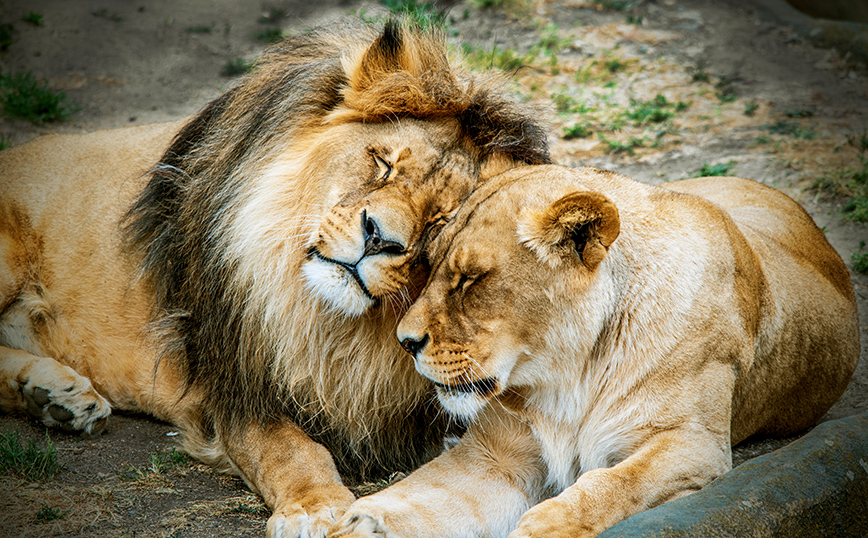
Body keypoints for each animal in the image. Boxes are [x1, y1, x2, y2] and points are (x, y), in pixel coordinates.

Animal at [0, 18, 548, 532]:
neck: (326, 322)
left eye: (440, 222)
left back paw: (54, 396)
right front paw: (316, 509)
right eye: (382, 163)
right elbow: (289, 449)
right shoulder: (234, 384)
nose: (378, 238)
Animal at [332, 164, 860, 536]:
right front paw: (354, 523)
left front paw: (544, 526)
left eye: (470, 280)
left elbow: (616, 484)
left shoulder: (693, 443)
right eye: (427, 264)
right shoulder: (496, 457)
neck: (571, 373)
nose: (406, 342)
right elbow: (422, 496)